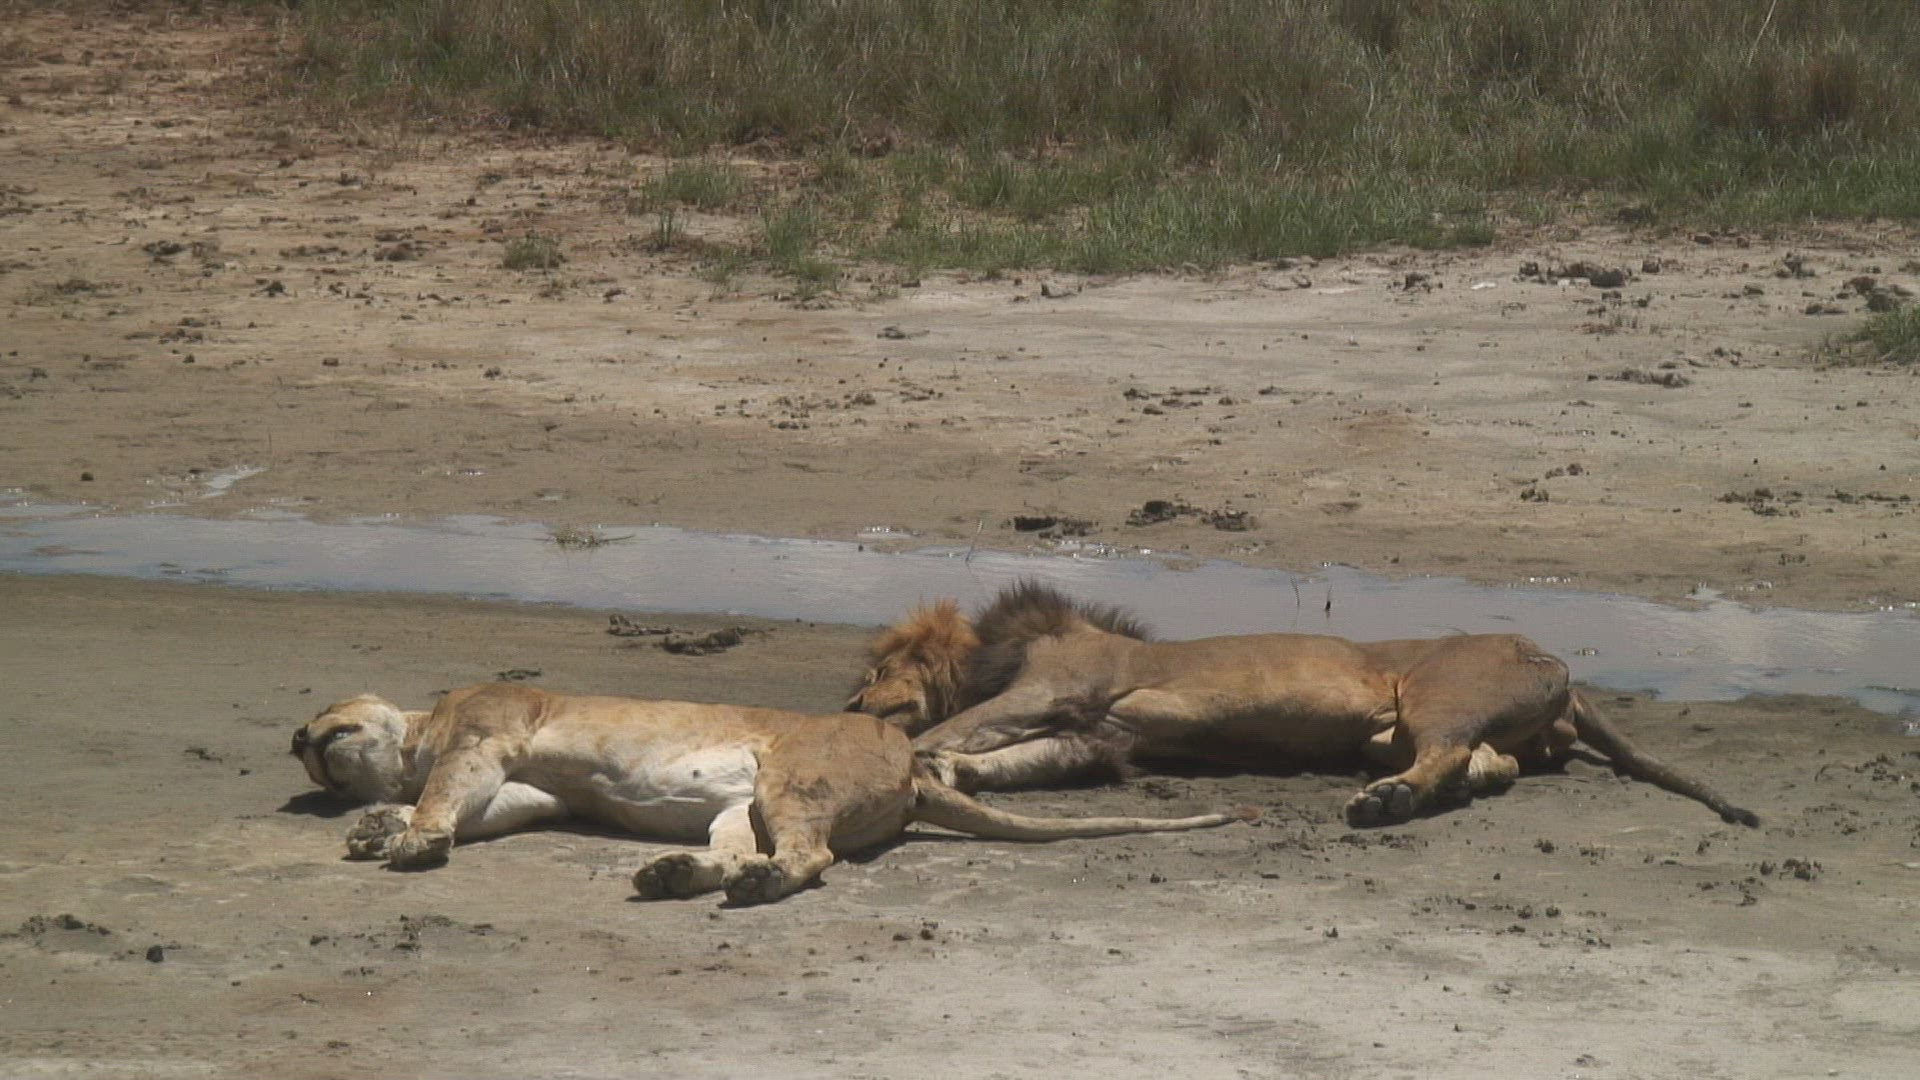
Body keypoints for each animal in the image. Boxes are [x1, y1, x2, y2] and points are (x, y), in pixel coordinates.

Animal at [849, 581, 1759, 828]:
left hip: (1434, 691)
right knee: (1484, 764)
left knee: (1446, 754)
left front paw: (926, 756)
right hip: (1393, 733)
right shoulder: (1097, 735)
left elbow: (955, 727)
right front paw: (958, 773)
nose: (851, 694)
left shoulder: (1056, 687)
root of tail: (1564, 666)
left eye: (880, 665)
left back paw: (1388, 806)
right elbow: (1009, 756)